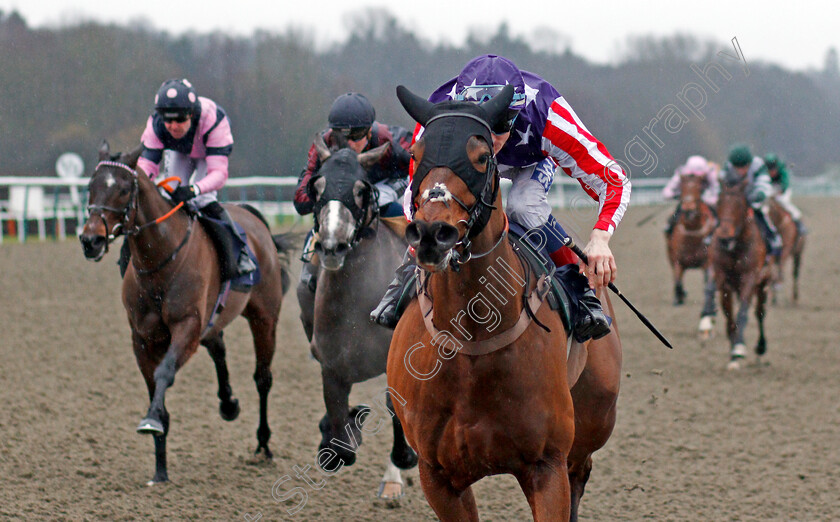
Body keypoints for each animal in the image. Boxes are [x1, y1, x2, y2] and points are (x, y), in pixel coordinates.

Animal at [81, 140, 292, 482]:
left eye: (124, 189)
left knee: (263, 377)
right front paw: (160, 469)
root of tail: (252, 216)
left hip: (264, 316)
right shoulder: (142, 338)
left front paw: (152, 422)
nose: (91, 240)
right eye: (91, 186)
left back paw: (263, 446)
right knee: (218, 347)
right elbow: (154, 386)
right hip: (213, 319)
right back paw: (228, 405)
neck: (160, 261)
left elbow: (165, 373)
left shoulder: (187, 325)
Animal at [296, 134, 418, 496]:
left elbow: (394, 406)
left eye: (361, 189)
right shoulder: (332, 364)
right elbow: (339, 437)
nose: (332, 247)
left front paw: (402, 459)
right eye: (317, 186)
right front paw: (344, 430)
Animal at [390, 86, 620, 520]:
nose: (431, 233)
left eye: (481, 157)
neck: (473, 342)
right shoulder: (437, 476)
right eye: (416, 153)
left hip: (592, 421)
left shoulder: (547, 466)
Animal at [668, 173, 720, 338]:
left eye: (699, 186)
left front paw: (706, 321)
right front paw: (680, 296)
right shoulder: (677, 262)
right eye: (681, 187)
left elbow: (708, 288)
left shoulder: (709, 263)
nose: (689, 208)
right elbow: (678, 283)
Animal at [708, 177, 768, 368]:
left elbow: (742, 314)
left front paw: (739, 348)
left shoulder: (749, 278)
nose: (725, 236)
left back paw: (761, 347)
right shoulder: (723, 281)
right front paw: (733, 355)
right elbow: (729, 318)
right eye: (719, 202)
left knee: (759, 313)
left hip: (764, 283)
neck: (735, 248)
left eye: (739, 204)